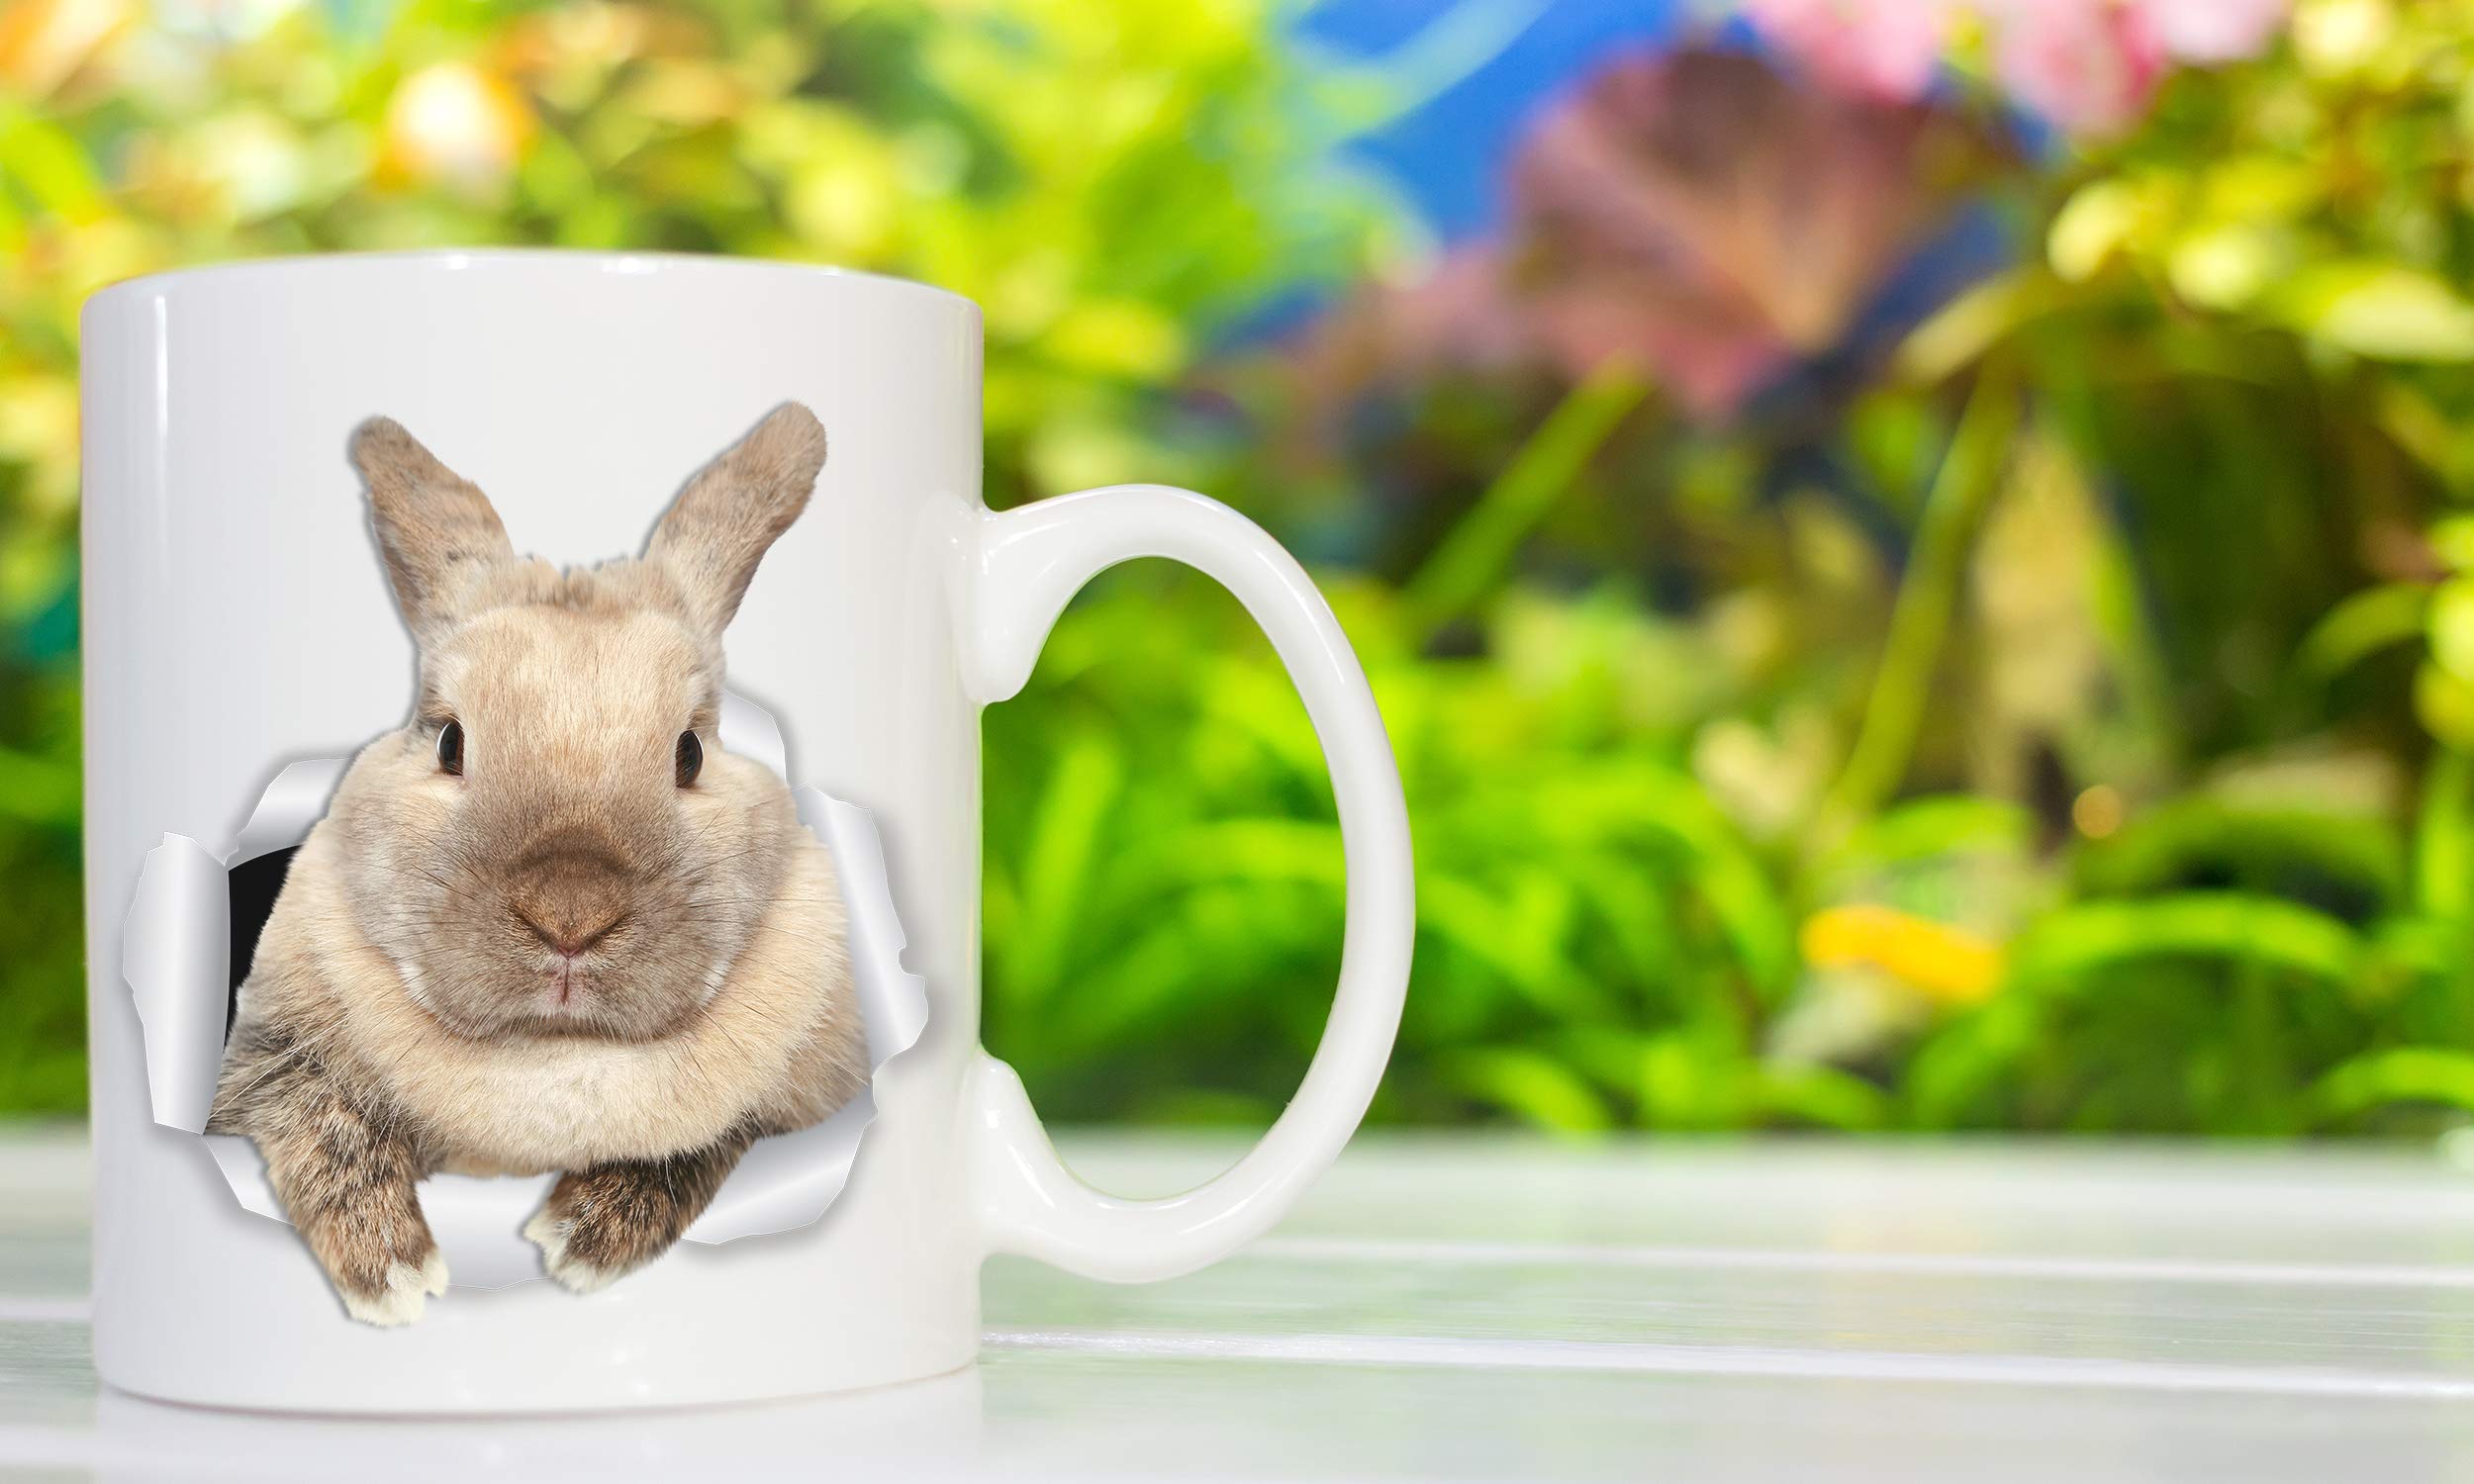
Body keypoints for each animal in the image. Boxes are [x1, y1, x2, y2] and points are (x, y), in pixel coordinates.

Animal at [206, 404, 867, 1327]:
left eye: (691, 753)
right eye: (449, 742)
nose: (569, 917)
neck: (552, 1051)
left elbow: (709, 1139)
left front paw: (578, 1241)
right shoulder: (265, 1068)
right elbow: (321, 1125)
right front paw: (396, 1280)